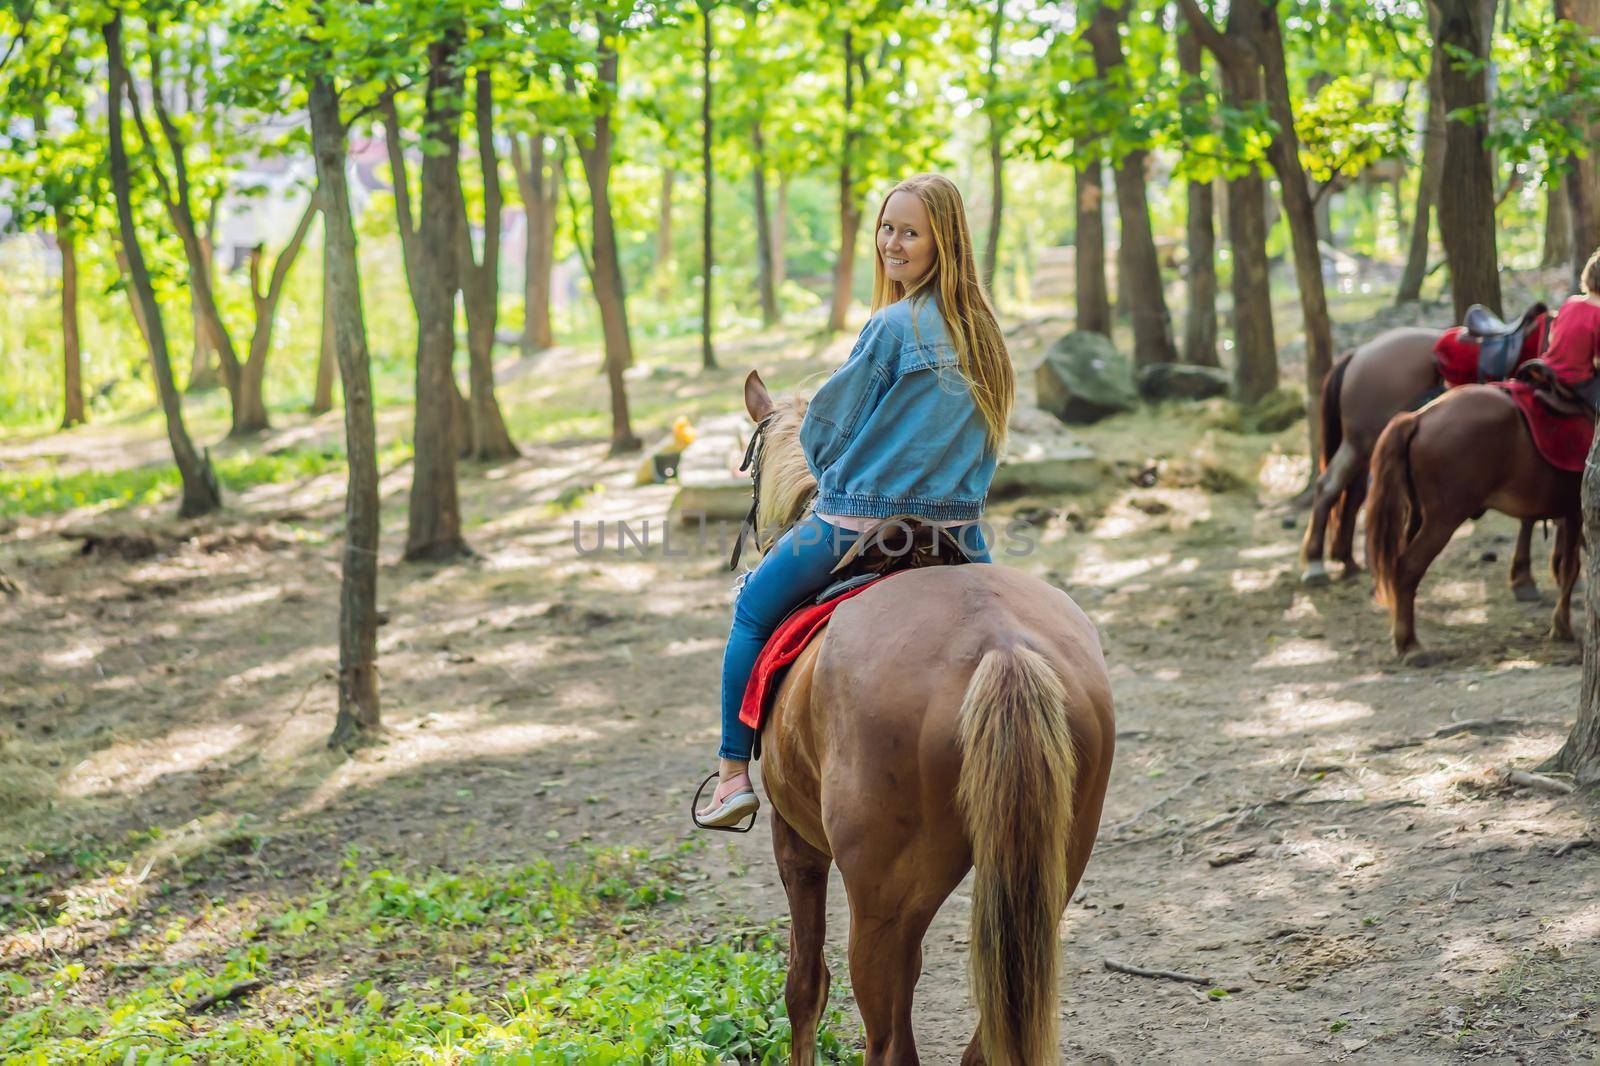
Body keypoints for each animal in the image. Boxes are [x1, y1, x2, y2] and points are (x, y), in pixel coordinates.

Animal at [736, 369, 1113, 1056]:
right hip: (1051, 872)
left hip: (885, 899)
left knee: (888, 1040)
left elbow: (804, 985)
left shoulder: (795, 839)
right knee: (987, 1041)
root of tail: (1001, 646)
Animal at [1299, 326, 1536, 598]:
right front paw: (1525, 579)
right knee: (1333, 487)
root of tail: (1359, 352)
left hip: (1364, 446)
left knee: (1347, 492)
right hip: (1362, 443)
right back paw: (1318, 566)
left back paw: (1346, 561)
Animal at [1356, 379, 1580, 646]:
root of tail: (1418, 417)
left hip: (1417, 515)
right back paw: (1408, 644)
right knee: (1408, 567)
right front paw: (1562, 627)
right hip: (1443, 520)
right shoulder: (1576, 510)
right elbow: (1571, 567)